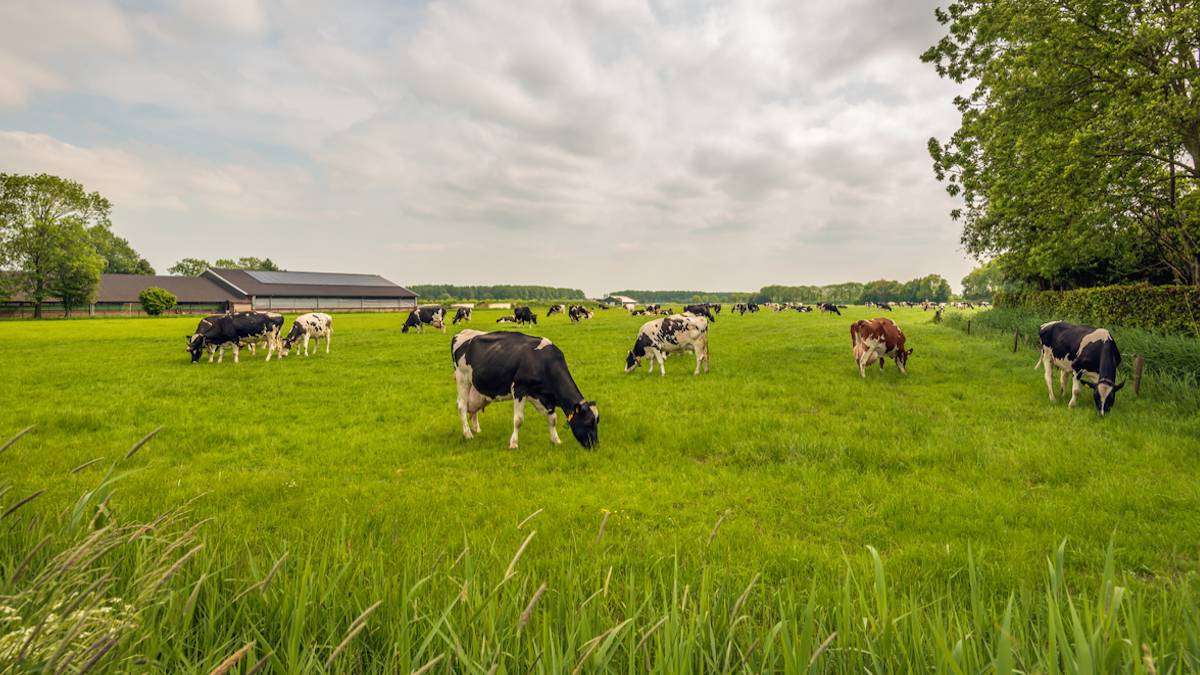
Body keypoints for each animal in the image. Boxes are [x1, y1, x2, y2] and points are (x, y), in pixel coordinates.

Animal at [451, 326, 600, 446]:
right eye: (588, 422)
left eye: (597, 421)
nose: (595, 446)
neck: (543, 361)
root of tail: (462, 332)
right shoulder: (519, 389)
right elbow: (518, 420)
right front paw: (514, 443)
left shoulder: (545, 397)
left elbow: (552, 419)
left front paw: (556, 440)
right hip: (462, 378)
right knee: (462, 406)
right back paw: (468, 434)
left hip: (475, 387)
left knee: (472, 408)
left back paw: (476, 430)